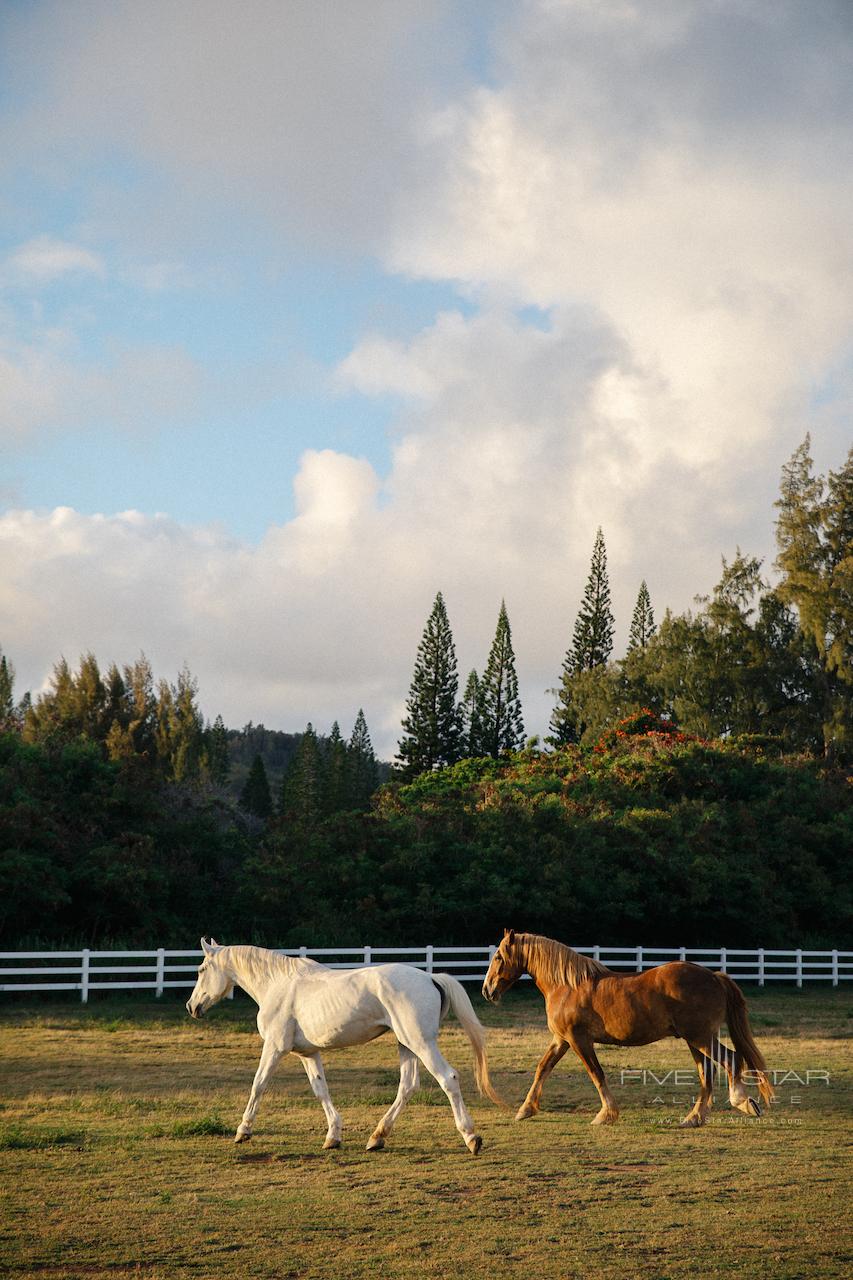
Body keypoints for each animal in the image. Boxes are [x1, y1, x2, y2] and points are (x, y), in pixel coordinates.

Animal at [185, 936, 502, 1157]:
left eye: (201, 969)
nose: (192, 1006)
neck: (278, 984)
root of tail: (429, 977)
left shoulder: (275, 1047)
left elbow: (258, 1084)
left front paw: (243, 1131)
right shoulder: (309, 1053)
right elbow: (320, 1089)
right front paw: (333, 1137)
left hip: (421, 1043)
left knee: (447, 1078)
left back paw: (471, 1137)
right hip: (406, 1044)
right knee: (408, 1086)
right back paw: (377, 1137)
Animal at [484, 931, 768, 1131]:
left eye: (498, 957)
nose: (487, 990)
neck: (566, 986)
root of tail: (714, 977)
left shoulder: (579, 1040)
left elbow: (596, 1073)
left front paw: (606, 1114)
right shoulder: (561, 1040)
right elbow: (543, 1068)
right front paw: (525, 1109)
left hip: (699, 1038)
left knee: (730, 1060)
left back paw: (742, 1102)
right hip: (694, 1040)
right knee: (706, 1073)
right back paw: (694, 1117)